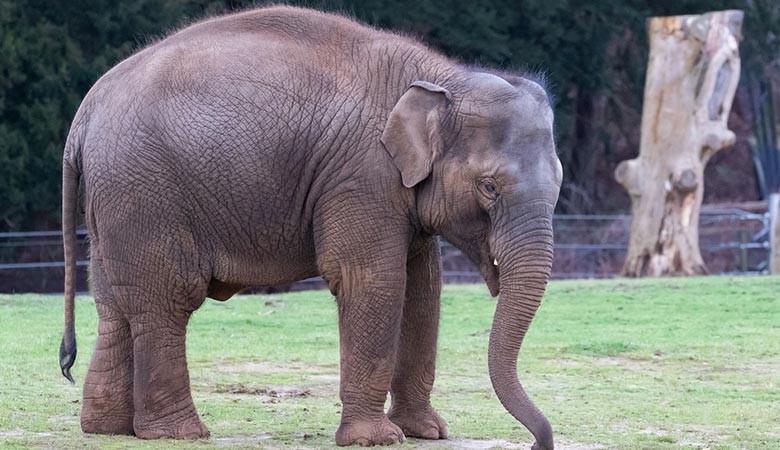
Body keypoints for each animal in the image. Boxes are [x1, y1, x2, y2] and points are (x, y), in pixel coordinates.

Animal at [59, 5, 562, 449]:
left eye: (559, 181)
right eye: (489, 187)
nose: (538, 443)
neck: (445, 76)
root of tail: (84, 114)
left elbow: (424, 288)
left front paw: (427, 433)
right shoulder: (362, 176)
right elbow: (372, 281)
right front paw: (375, 440)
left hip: (114, 201)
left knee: (114, 303)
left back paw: (109, 429)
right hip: (144, 193)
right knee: (165, 300)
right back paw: (179, 434)